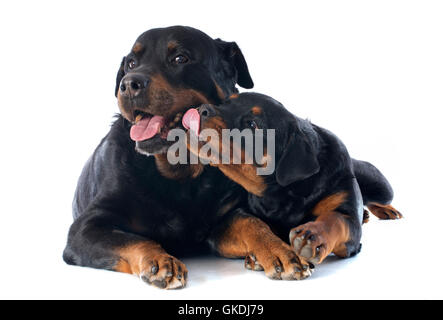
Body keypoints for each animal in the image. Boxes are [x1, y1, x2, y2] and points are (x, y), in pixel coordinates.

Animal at [185, 92, 402, 268]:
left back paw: (385, 210)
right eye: (225, 103)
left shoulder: (349, 220)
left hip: (381, 186)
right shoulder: (221, 227)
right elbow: (251, 224)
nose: (202, 109)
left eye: (253, 125)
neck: (284, 192)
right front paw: (264, 252)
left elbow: (336, 219)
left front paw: (312, 236)